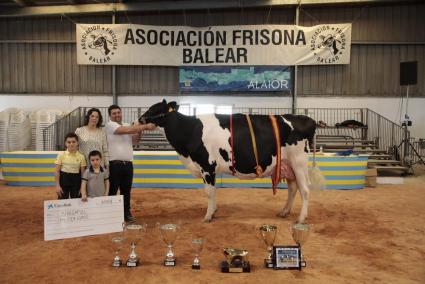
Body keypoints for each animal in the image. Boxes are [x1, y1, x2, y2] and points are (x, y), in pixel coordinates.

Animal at [139, 100, 318, 224]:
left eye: (154, 109)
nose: (139, 119)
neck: (191, 130)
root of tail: (309, 120)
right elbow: (213, 191)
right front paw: (214, 211)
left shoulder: (207, 166)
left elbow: (209, 192)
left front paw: (208, 216)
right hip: (288, 165)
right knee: (293, 189)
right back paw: (284, 212)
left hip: (299, 162)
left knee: (305, 190)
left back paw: (301, 218)